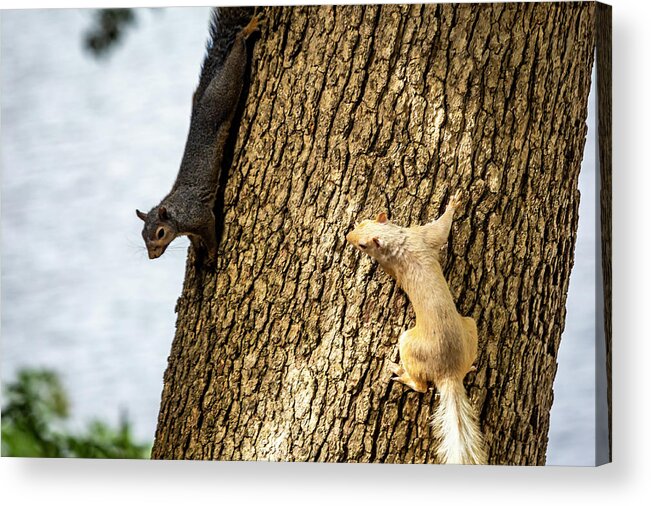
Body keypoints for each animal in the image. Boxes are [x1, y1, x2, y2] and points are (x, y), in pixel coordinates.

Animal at [137, 7, 260, 264]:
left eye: (160, 233)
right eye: (142, 235)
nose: (152, 257)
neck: (176, 213)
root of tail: (202, 100)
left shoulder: (199, 215)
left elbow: (210, 231)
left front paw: (212, 254)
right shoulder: (190, 228)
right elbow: (195, 239)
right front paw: (199, 249)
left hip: (224, 94)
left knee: (235, 57)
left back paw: (247, 30)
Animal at [348, 192, 486, 464]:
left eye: (363, 245)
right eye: (364, 222)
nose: (348, 236)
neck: (398, 242)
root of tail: (450, 372)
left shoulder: (400, 255)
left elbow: (439, 230)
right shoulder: (421, 235)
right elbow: (440, 231)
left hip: (408, 343)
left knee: (422, 386)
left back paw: (402, 375)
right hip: (470, 325)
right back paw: (469, 367)